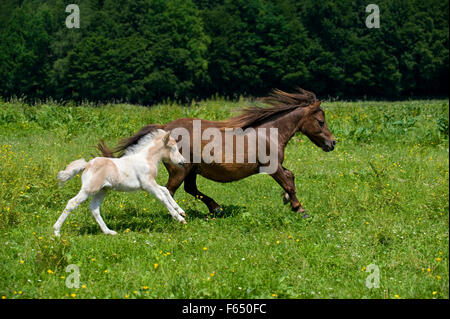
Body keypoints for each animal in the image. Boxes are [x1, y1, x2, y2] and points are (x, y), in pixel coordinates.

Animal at [53, 129, 187, 236]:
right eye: (173, 148)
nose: (183, 161)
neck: (146, 159)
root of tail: (87, 165)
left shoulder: (150, 183)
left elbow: (165, 190)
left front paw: (181, 211)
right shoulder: (147, 185)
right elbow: (162, 197)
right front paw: (179, 218)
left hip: (102, 190)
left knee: (94, 208)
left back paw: (109, 232)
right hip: (89, 189)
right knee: (72, 203)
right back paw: (56, 231)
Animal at [99, 87, 338, 218]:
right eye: (320, 121)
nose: (332, 143)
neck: (268, 134)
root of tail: (165, 129)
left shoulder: (277, 166)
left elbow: (291, 176)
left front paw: (288, 200)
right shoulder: (272, 167)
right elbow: (288, 182)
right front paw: (299, 208)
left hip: (191, 169)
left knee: (190, 189)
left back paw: (216, 209)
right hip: (180, 170)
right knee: (169, 190)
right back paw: (178, 214)